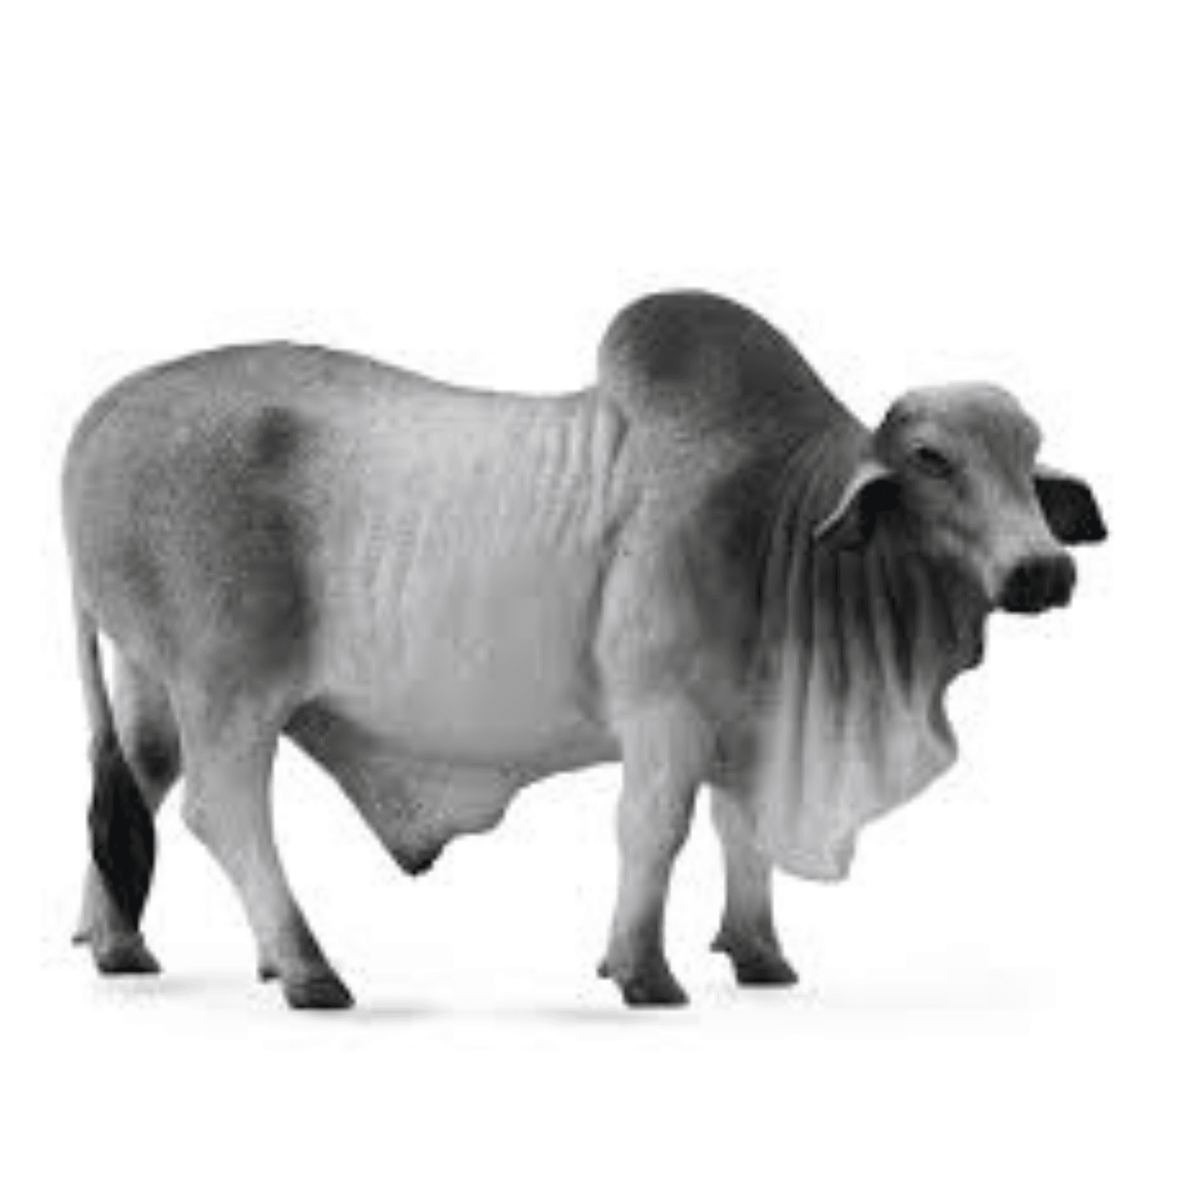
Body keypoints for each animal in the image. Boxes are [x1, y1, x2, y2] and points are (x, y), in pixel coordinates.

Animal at [62, 291, 1106, 1010]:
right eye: (932, 460)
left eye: (1030, 452)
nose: (1042, 570)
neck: (786, 521)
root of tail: (102, 414)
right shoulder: (665, 717)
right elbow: (655, 832)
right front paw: (642, 973)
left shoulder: (752, 715)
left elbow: (742, 837)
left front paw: (761, 957)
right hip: (228, 687)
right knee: (223, 812)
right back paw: (309, 969)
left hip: (152, 683)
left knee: (132, 793)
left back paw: (123, 948)